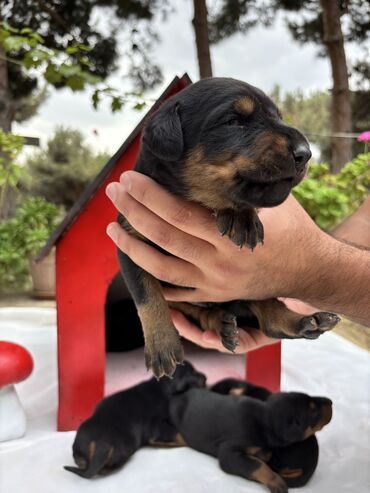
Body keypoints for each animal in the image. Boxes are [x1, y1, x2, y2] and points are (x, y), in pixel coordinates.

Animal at [64, 360, 207, 478]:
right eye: (193, 373)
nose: (205, 376)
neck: (164, 386)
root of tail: (101, 443)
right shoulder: (158, 427)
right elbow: (179, 435)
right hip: (127, 445)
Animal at [118, 77, 342, 376]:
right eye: (234, 121)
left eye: (278, 117)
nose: (306, 153)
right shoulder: (129, 244)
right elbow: (147, 296)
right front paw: (162, 345)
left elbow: (243, 196)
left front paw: (241, 217)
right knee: (199, 311)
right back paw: (221, 324)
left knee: (268, 313)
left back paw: (305, 321)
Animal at [171, 384, 332, 492]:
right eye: (313, 410)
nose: (330, 401)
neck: (264, 416)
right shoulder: (229, 453)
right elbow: (258, 466)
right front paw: (276, 482)